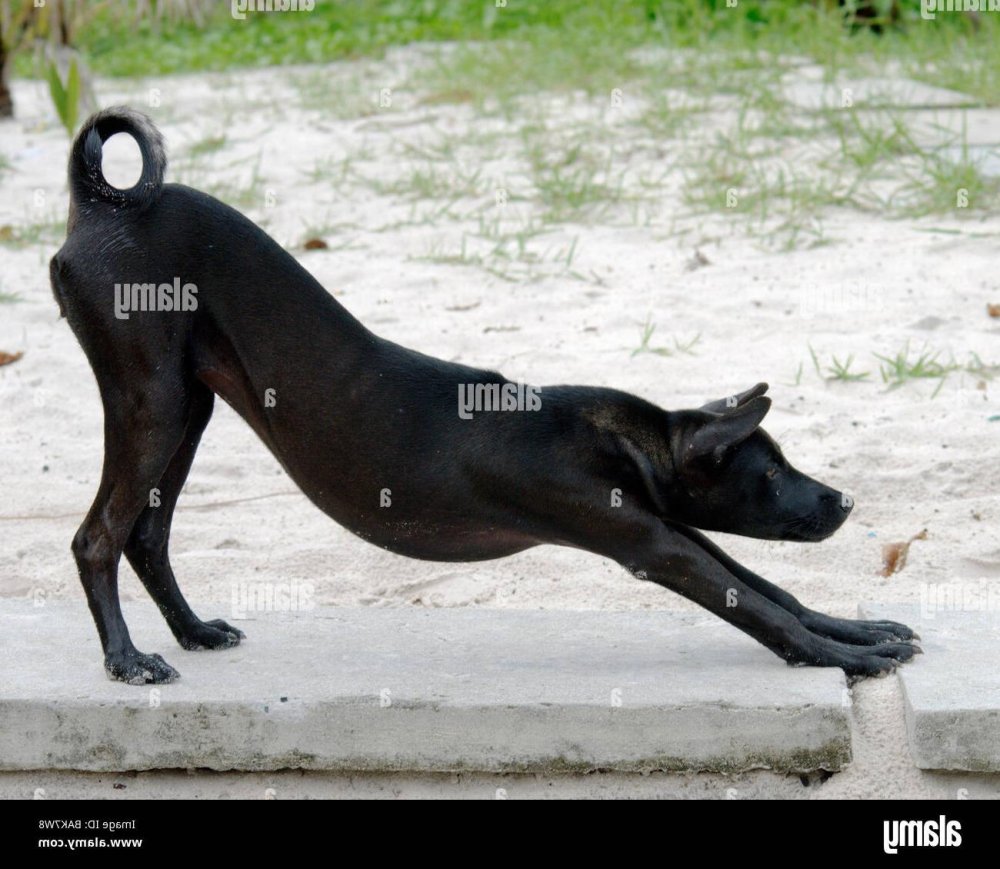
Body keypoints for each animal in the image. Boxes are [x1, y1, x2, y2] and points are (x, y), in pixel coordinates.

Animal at [50, 108, 916, 680]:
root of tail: (98, 204)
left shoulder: (669, 525)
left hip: (187, 409)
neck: (626, 441)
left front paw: (863, 631)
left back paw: (192, 632)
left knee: (145, 537)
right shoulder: (653, 545)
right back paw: (126, 660)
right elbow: (755, 606)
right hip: (153, 402)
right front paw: (842, 657)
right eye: (770, 472)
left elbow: (773, 588)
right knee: (97, 538)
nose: (842, 500)